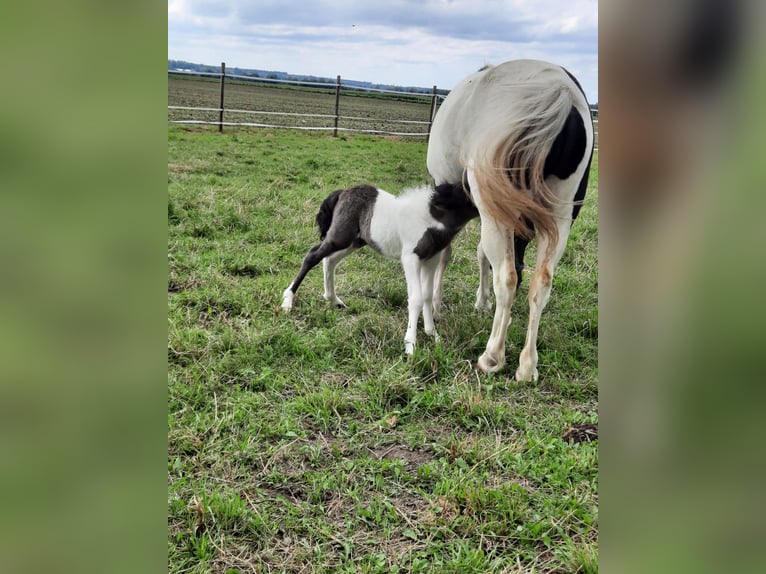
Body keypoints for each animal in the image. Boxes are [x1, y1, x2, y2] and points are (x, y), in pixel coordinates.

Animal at [280, 184, 476, 356]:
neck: (430, 219)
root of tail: (343, 192)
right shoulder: (410, 258)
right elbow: (417, 298)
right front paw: (410, 346)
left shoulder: (431, 260)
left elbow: (427, 295)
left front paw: (433, 335)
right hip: (340, 237)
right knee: (312, 256)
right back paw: (288, 300)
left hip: (355, 241)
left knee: (330, 261)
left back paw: (334, 300)